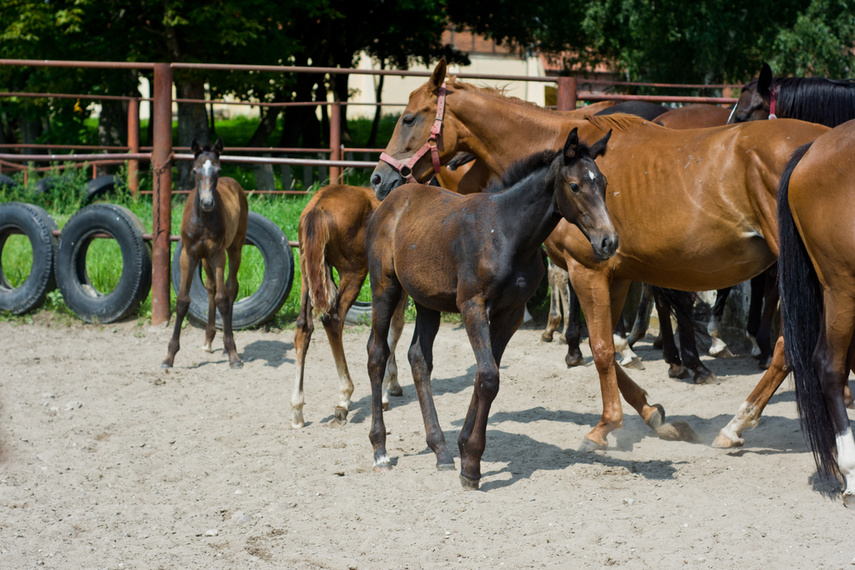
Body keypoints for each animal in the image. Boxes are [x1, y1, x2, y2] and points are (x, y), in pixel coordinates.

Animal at [164, 138, 249, 368]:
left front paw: (233, 354)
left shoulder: (218, 254)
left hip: (234, 248)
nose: (207, 203)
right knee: (211, 287)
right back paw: (209, 340)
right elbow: (183, 301)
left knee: (230, 288)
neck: (202, 219)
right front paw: (169, 356)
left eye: (218, 171)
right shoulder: (189, 255)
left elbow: (223, 298)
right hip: (205, 259)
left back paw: (227, 344)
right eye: (195, 170)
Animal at [368, 130, 616, 488]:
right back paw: (380, 451)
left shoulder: (510, 313)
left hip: (427, 300)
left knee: (419, 358)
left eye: (605, 184)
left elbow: (488, 373)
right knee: (377, 354)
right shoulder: (473, 305)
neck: (507, 232)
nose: (609, 241)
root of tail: (391, 200)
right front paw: (471, 465)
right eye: (575, 186)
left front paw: (463, 450)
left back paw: (441, 450)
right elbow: (487, 376)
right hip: (384, 287)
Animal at [370, 61, 828, 452]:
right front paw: (654, 414)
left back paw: (737, 424)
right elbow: (610, 345)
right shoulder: (617, 273)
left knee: (789, 346)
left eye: (408, 118)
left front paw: (605, 426)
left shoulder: (587, 270)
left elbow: (603, 346)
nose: (379, 177)